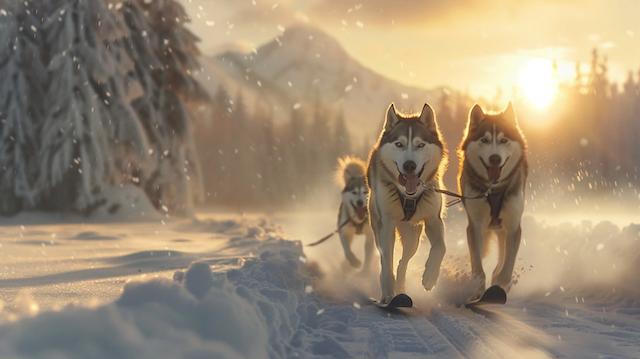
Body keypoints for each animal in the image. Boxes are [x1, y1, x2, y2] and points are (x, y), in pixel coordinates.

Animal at [368, 103, 448, 304]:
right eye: (399, 144)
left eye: (420, 144)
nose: (409, 165)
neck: (408, 196)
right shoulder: (386, 224)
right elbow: (386, 263)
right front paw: (387, 295)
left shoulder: (433, 219)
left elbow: (441, 247)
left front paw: (430, 276)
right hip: (379, 227)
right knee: (387, 260)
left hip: (413, 238)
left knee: (403, 263)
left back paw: (402, 289)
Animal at [458, 102, 528, 296]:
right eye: (484, 140)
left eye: (504, 140)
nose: (495, 158)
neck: (494, 188)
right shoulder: (475, 225)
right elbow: (477, 266)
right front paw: (478, 290)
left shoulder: (513, 227)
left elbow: (506, 269)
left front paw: (498, 286)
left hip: (502, 230)